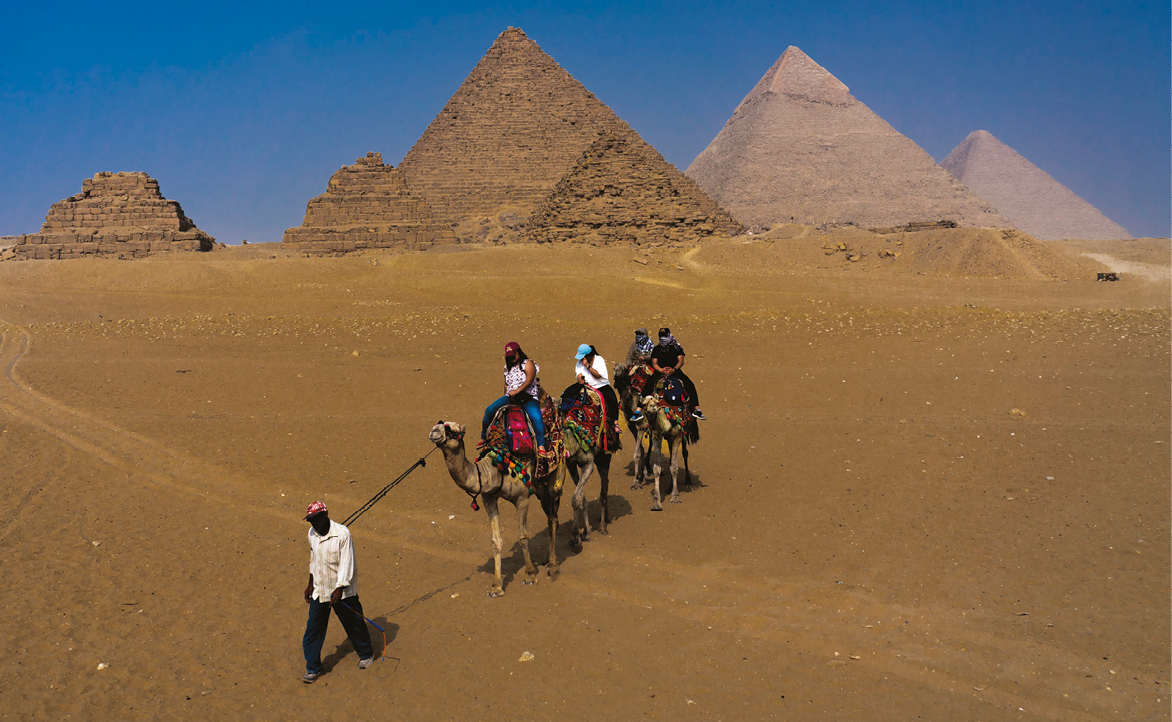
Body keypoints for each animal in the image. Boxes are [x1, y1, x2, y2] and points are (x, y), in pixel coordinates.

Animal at [431, 417, 562, 597]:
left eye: (454, 431)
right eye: (439, 425)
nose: (434, 431)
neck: (495, 468)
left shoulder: (522, 498)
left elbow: (523, 537)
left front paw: (529, 575)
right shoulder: (488, 497)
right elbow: (496, 541)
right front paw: (496, 587)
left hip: (551, 482)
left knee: (553, 517)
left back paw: (553, 564)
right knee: (551, 517)